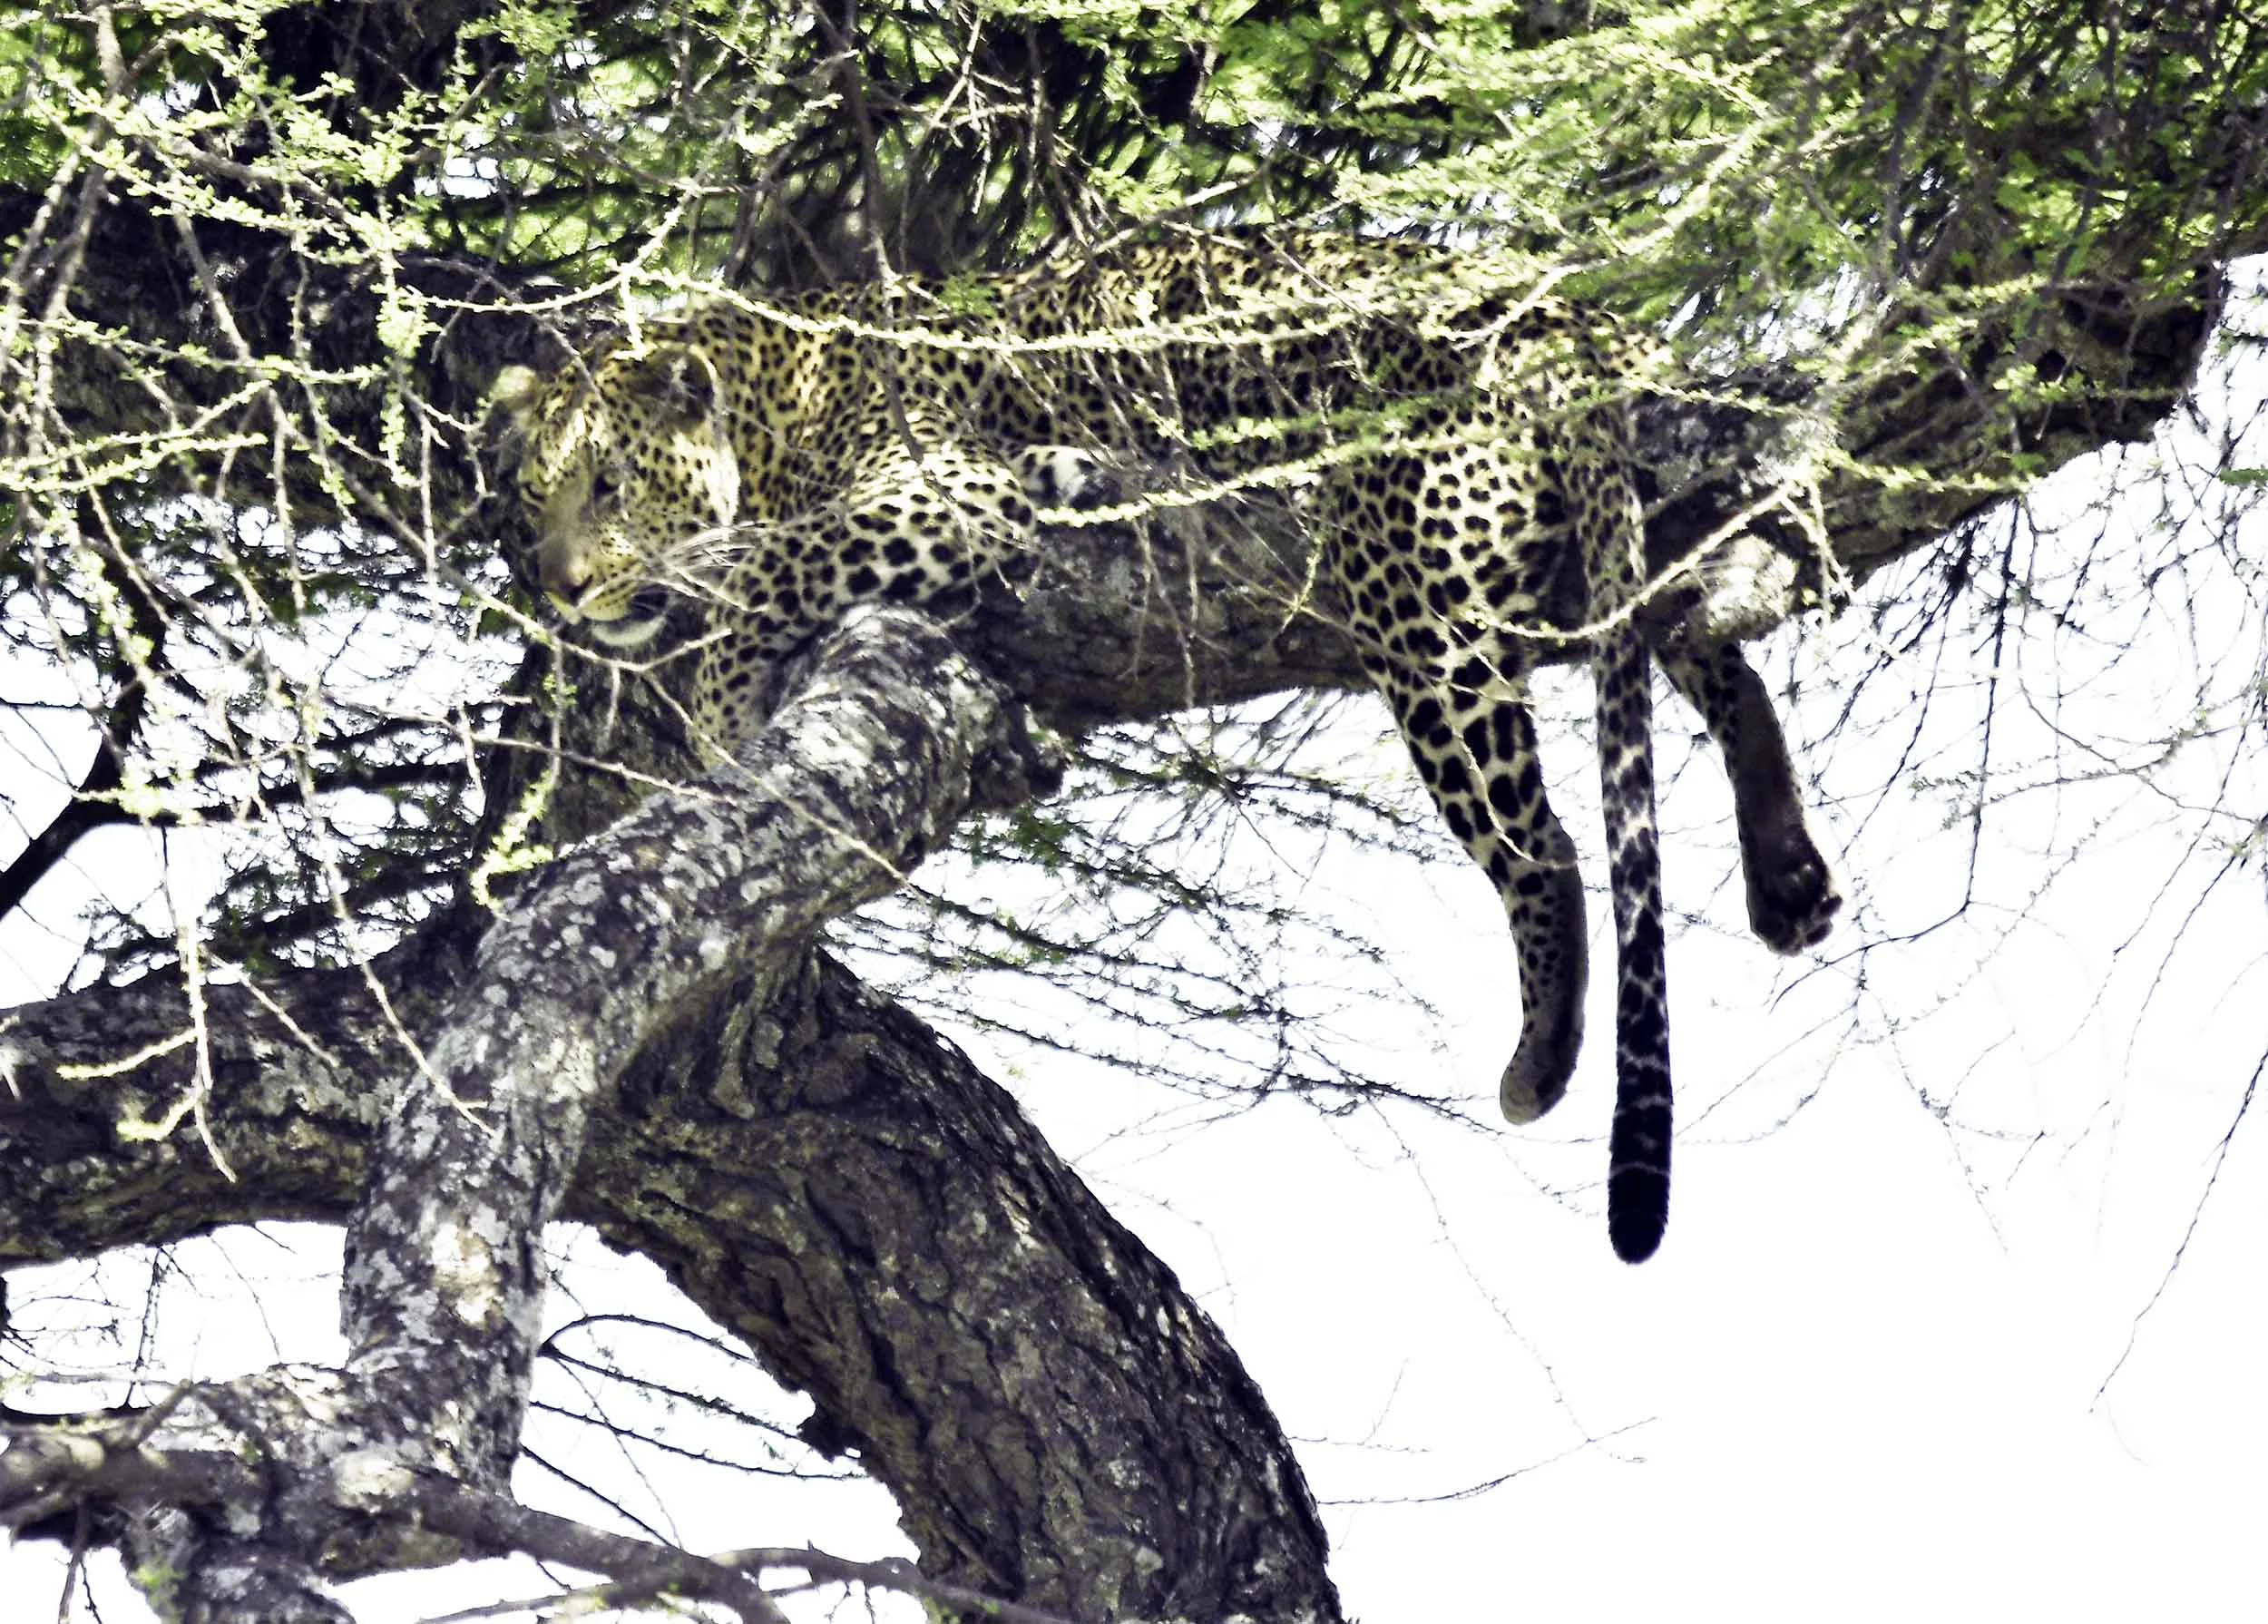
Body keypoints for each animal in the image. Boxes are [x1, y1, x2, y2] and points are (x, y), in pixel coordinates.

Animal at [497, 228, 1843, 1262]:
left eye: (609, 482)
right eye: (531, 493)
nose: (557, 589)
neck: (768, 404)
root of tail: (1570, 317)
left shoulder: (944, 492)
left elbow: (769, 563)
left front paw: (720, 693)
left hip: (1410, 588)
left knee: (1546, 841)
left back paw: (1544, 1054)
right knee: (1716, 652)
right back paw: (1786, 875)